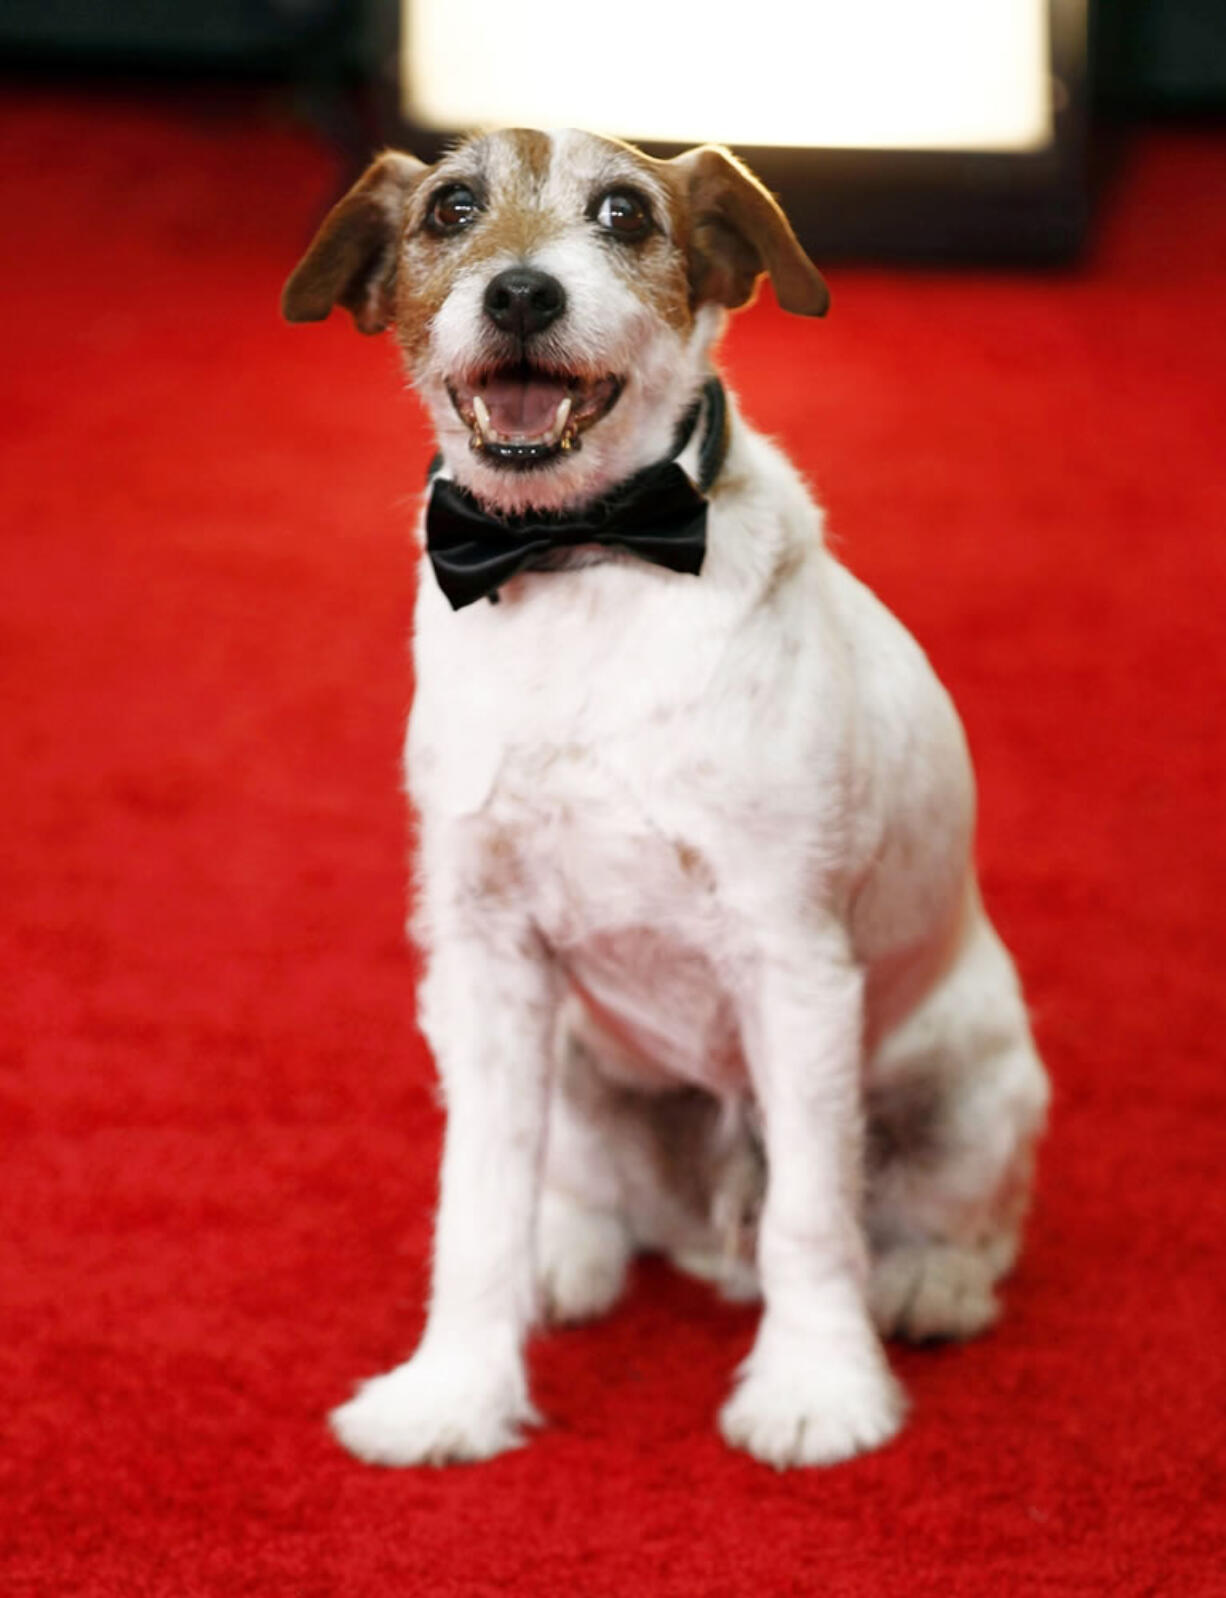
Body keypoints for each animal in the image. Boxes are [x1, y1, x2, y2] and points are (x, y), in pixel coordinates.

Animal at [282, 131, 1048, 1463]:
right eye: (452, 207)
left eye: (624, 213)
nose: (520, 294)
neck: (581, 558)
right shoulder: (483, 962)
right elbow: (474, 1204)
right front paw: (455, 1389)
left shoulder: (791, 962)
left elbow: (812, 1216)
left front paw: (815, 1387)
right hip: (578, 1055)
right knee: (583, 1191)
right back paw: (567, 1257)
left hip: (970, 1089)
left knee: (938, 1218)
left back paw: (927, 1282)